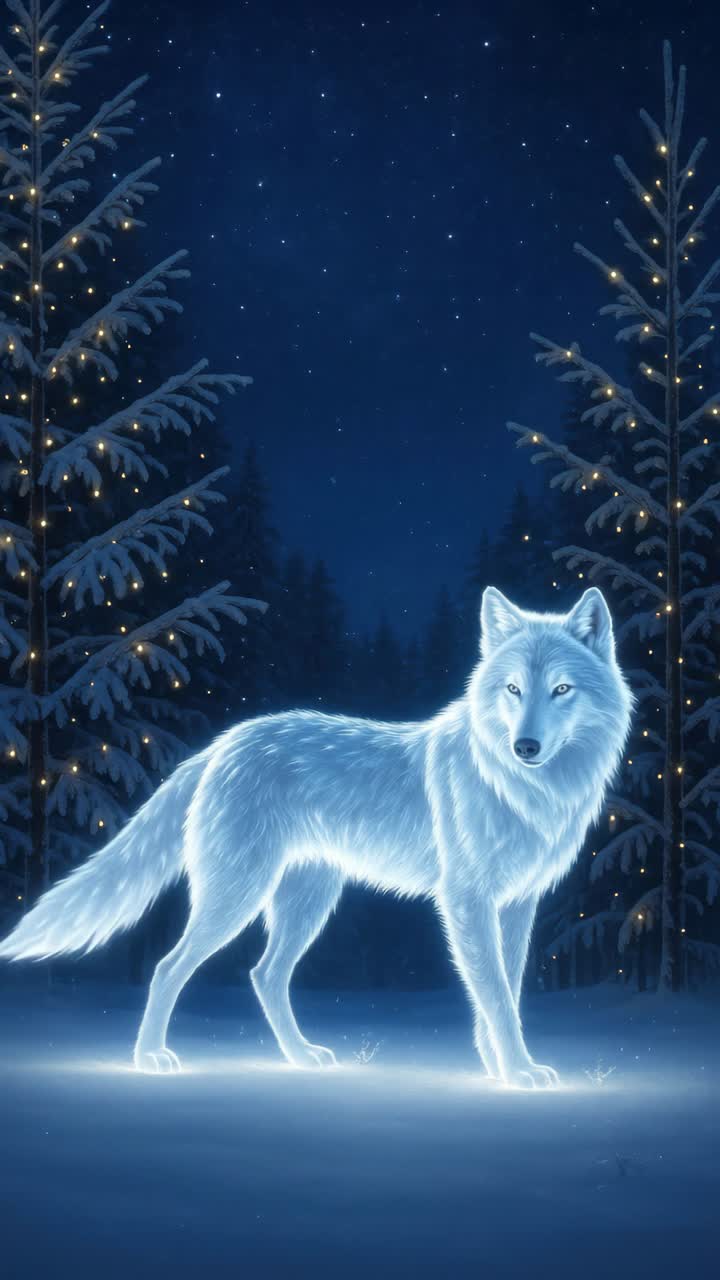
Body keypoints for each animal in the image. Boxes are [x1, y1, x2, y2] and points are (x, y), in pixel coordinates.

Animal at [0, 586, 632, 1088]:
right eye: (512, 690)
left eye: (562, 690)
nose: (525, 747)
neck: (526, 792)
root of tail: (222, 745)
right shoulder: (467, 901)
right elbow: (498, 997)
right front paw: (520, 1073)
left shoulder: (518, 904)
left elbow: (504, 992)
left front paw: (500, 1069)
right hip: (239, 897)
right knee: (168, 968)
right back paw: (150, 1058)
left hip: (307, 903)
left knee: (264, 975)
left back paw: (301, 1058)